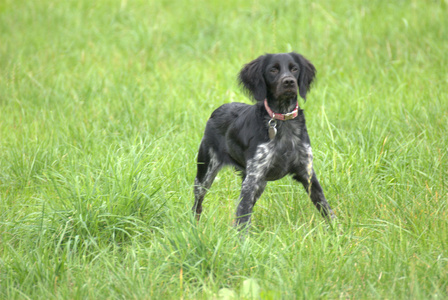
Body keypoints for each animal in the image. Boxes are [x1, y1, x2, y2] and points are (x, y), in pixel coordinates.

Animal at [192, 52, 336, 229]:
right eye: (273, 70)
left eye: (294, 69)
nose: (289, 81)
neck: (283, 120)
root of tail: (217, 110)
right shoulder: (253, 177)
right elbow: (243, 217)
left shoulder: (307, 172)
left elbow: (326, 208)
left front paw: (337, 231)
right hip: (205, 173)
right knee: (197, 205)